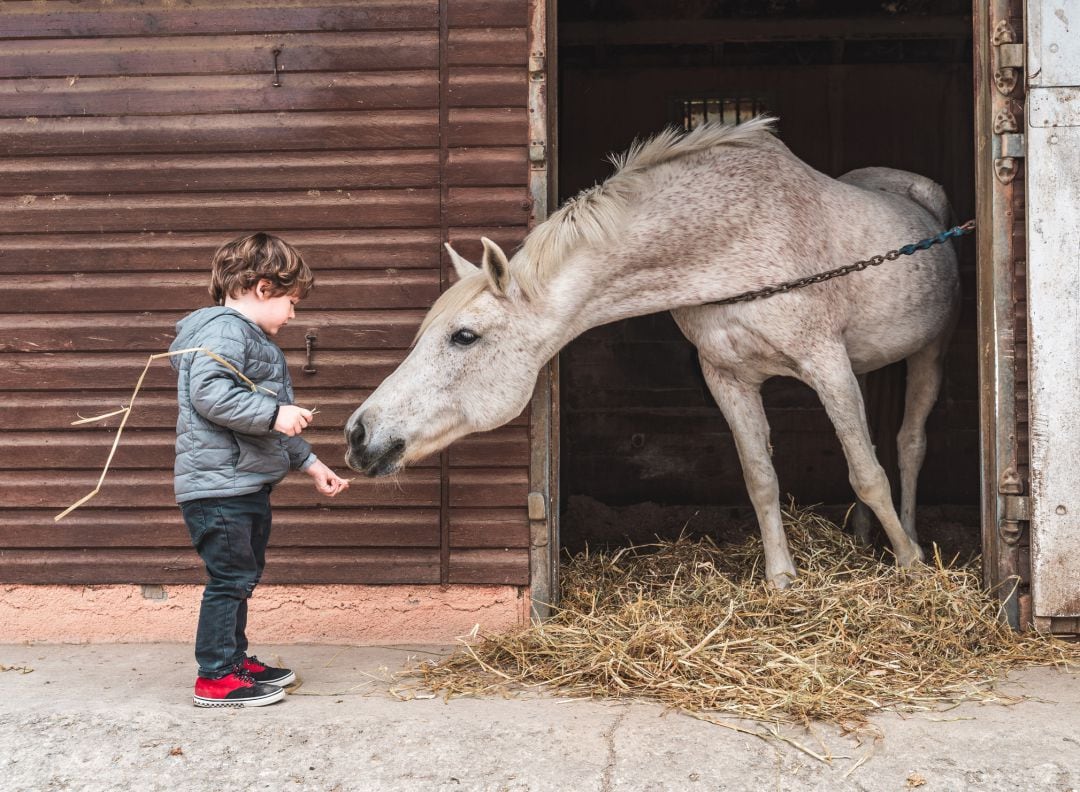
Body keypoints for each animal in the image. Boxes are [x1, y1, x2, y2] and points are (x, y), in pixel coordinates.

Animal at [343, 118, 954, 587]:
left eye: (464, 336)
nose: (357, 435)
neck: (736, 244)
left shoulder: (825, 364)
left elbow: (866, 471)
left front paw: (912, 566)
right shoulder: (728, 377)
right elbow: (761, 479)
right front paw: (782, 581)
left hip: (927, 352)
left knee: (909, 444)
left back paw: (908, 537)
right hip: (867, 364)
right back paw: (864, 536)